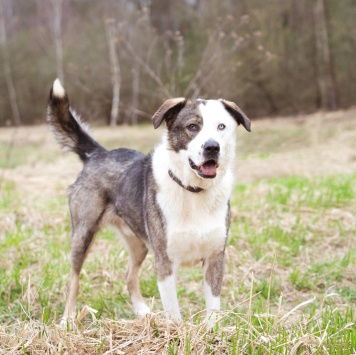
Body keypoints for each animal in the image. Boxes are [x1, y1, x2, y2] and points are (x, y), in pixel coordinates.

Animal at [46, 78, 250, 328]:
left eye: (221, 126)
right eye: (193, 127)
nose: (212, 147)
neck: (193, 191)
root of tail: (98, 153)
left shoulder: (215, 257)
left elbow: (213, 308)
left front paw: (212, 332)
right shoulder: (165, 262)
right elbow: (173, 312)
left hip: (138, 244)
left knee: (129, 276)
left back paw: (143, 313)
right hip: (82, 234)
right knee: (74, 279)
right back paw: (67, 320)